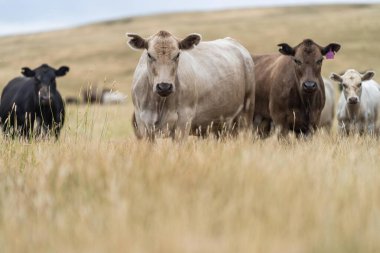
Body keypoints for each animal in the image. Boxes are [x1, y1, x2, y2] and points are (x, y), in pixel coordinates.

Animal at [127, 30, 255, 141]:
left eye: (177, 55)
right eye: (149, 55)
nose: (164, 86)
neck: (159, 103)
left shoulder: (183, 122)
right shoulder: (143, 125)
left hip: (246, 113)